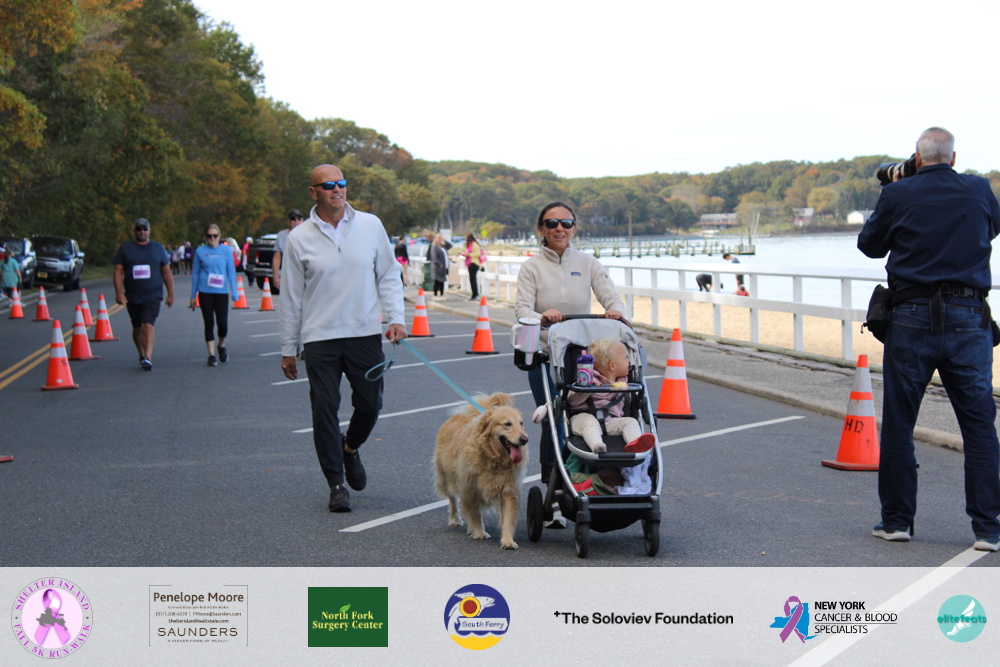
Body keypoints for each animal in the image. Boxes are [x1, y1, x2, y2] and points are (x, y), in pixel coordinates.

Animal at [433, 392, 528, 549]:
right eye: (507, 424)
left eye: (521, 423)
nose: (524, 439)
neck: (493, 458)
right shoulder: (471, 488)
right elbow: (475, 514)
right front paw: (480, 533)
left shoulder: (508, 489)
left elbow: (508, 519)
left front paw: (508, 541)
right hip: (445, 477)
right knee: (452, 499)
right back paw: (455, 519)